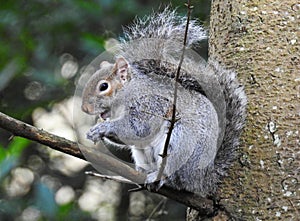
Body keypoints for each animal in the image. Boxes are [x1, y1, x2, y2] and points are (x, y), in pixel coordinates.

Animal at [81, 8, 246, 196]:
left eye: (103, 86)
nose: (85, 109)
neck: (128, 92)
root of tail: (202, 181)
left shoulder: (149, 103)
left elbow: (139, 128)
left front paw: (103, 127)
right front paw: (94, 131)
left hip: (179, 142)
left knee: (175, 177)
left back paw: (161, 177)